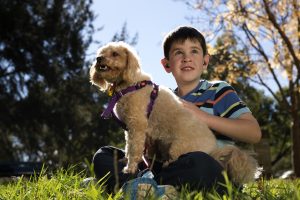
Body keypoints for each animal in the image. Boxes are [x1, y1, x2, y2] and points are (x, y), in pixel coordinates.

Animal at [90, 41, 258, 185]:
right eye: (101, 52)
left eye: (115, 53)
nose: (98, 58)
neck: (128, 84)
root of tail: (214, 150)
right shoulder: (130, 128)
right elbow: (128, 147)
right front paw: (125, 161)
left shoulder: (137, 125)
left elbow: (134, 148)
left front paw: (129, 168)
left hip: (178, 147)